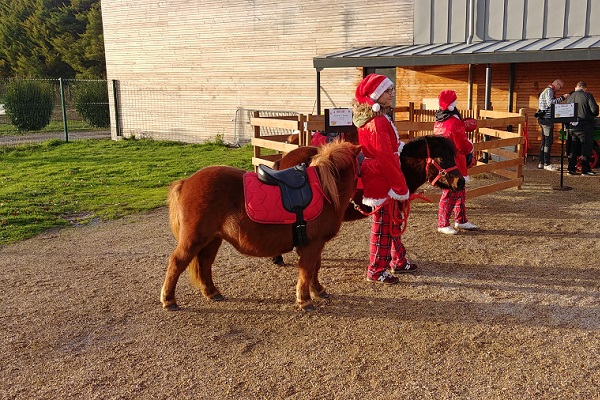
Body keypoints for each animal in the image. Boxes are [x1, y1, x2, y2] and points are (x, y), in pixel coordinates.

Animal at [159, 141, 364, 312]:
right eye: (363, 163)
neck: (324, 191)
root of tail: (186, 182)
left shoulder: (316, 244)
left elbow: (315, 268)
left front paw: (317, 290)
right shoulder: (311, 245)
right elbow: (307, 271)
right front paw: (304, 300)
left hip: (212, 239)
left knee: (205, 262)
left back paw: (212, 292)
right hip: (195, 238)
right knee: (177, 262)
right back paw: (169, 300)